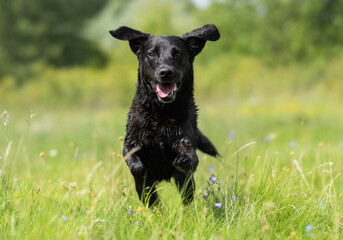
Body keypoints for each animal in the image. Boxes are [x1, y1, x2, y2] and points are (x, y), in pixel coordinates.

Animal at [110, 25, 220, 207]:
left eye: (178, 54)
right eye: (152, 54)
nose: (166, 72)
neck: (161, 111)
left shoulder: (185, 138)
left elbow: (191, 157)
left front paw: (184, 160)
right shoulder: (131, 142)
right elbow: (137, 167)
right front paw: (144, 178)